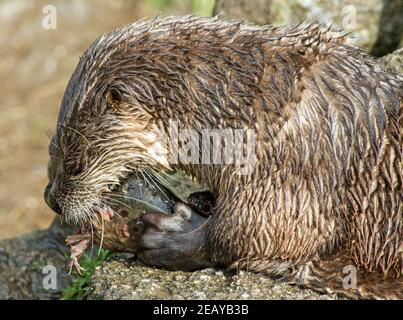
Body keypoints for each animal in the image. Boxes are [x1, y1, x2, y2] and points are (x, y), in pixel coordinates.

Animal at [45, 15, 403, 300]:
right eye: (52, 152)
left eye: (75, 166)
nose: (52, 200)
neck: (246, 108)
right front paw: (200, 200)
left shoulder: (295, 164)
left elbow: (257, 232)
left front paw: (169, 237)